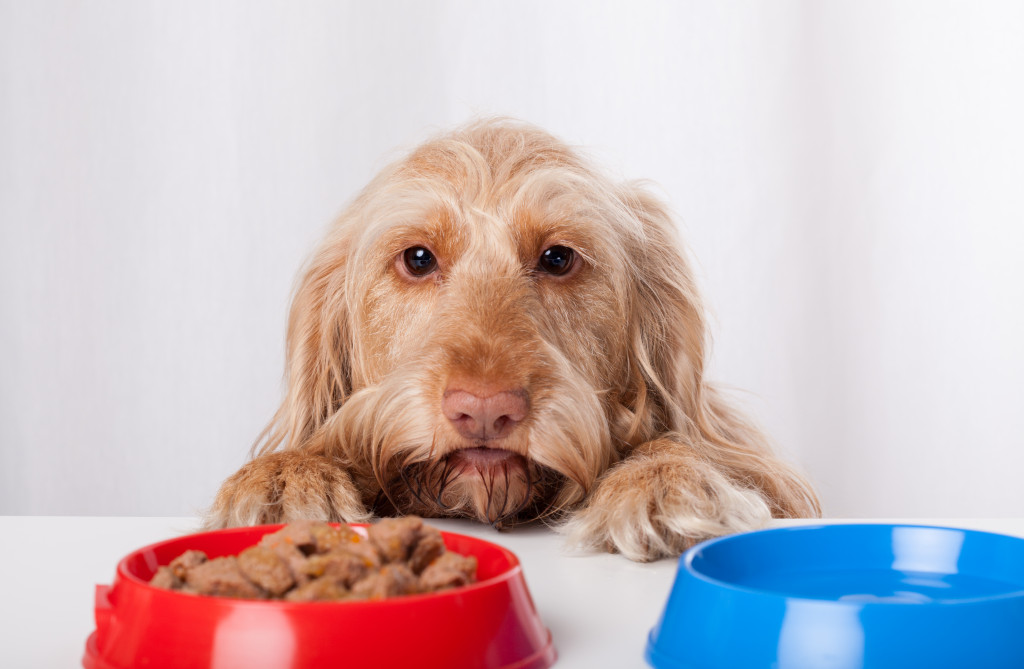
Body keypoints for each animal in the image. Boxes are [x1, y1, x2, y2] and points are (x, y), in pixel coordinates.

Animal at [203, 118, 819, 557]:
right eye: (418, 258)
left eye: (558, 257)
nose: (484, 410)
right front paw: (284, 476)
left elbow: (681, 445)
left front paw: (665, 475)